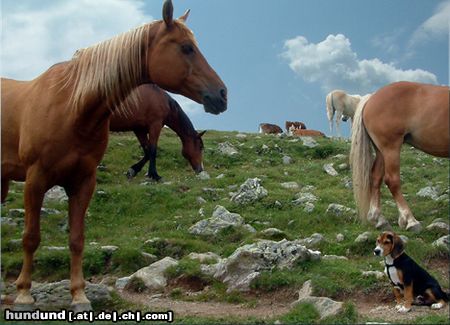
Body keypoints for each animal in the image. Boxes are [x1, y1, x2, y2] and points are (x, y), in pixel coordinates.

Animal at [0, 1, 225, 312]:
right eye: (187, 48)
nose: (222, 94)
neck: (72, 106)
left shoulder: (85, 180)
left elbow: (77, 239)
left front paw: (79, 295)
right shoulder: (36, 180)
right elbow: (31, 237)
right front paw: (23, 294)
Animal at [350, 82, 448, 232]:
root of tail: (372, 97)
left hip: (381, 151)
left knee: (376, 177)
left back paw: (377, 218)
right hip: (391, 148)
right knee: (392, 181)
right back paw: (410, 220)